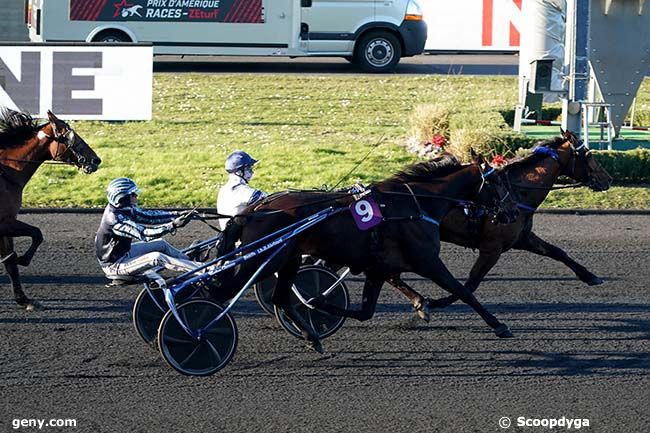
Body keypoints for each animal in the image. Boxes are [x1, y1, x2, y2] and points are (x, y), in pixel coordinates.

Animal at [0, 109, 100, 308]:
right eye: (72, 136)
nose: (96, 159)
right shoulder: (4, 222)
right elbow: (37, 234)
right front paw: (24, 259)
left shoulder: (6, 223)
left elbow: (10, 261)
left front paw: (23, 299)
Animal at [216, 155, 516, 352]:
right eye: (500, 183)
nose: (512, 212)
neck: (415, 204)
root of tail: (252, 211)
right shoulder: (427, 261)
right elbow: (463, 291)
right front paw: (499, 325)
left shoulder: (378, 267)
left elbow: (367, 311)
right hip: (265, 259)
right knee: (222, 290)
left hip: (287, 259)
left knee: (280, 298)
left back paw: (311, 337)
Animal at [388, 126, 612, 316]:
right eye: (589, 154)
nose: (608, 179)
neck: (516, 192)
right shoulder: (492, 248)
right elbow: (471, 283)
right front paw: (436, 302)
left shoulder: (522, 238)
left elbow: (557, 252)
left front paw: (590, 276)